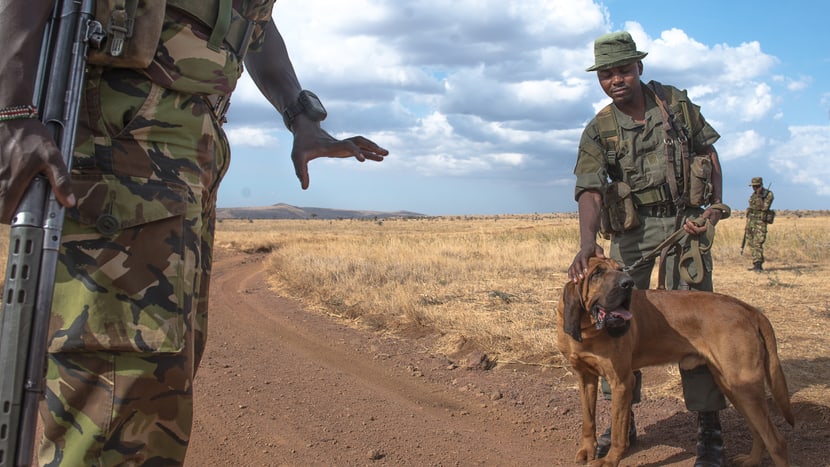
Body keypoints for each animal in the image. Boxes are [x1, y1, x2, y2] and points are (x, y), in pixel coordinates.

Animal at [556, 258, 796, 466]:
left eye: (620, 269)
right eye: (596, 273)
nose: (628, 283)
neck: (588, 330)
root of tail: (749, 310)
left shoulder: (622, 382)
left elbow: (618, 431)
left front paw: (609, 460)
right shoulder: (585, 378)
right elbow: (588, 420)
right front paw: (588, 450)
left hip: (744, 387)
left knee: (777, 442)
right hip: (733, 386)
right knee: (758, 431)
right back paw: (751, 460)